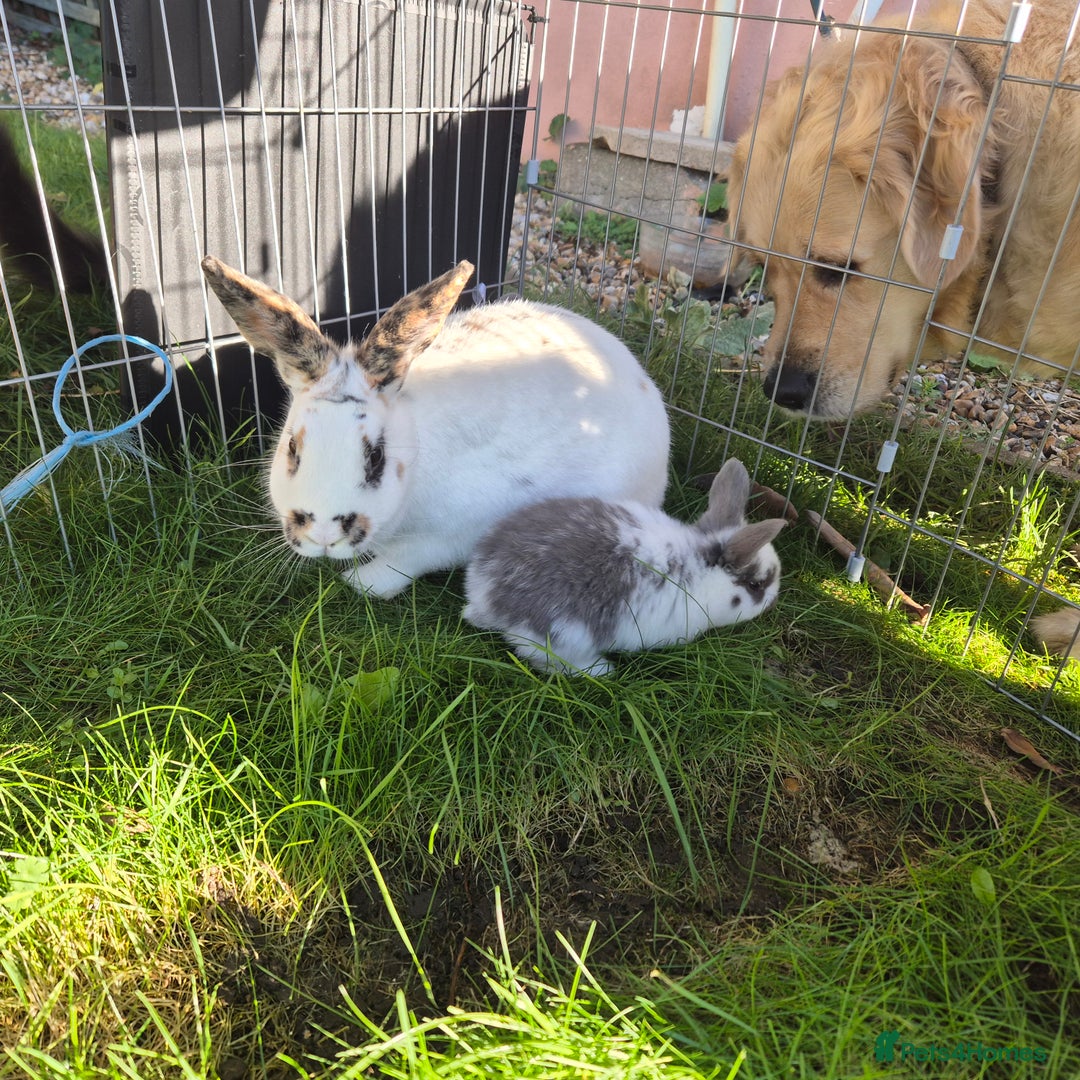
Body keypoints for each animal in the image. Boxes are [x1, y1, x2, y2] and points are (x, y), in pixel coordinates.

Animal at [200, 256, 671, 598]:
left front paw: (360, 583)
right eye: (292, 450)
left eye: (377, 458)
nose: (323, 534)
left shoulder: (453, 534)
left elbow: (403, 564)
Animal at [463, 458, 786, 675]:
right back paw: (602, 670)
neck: (699, 570)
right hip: (563, 636)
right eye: (756, 585)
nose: (773, 601)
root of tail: (486, 593)